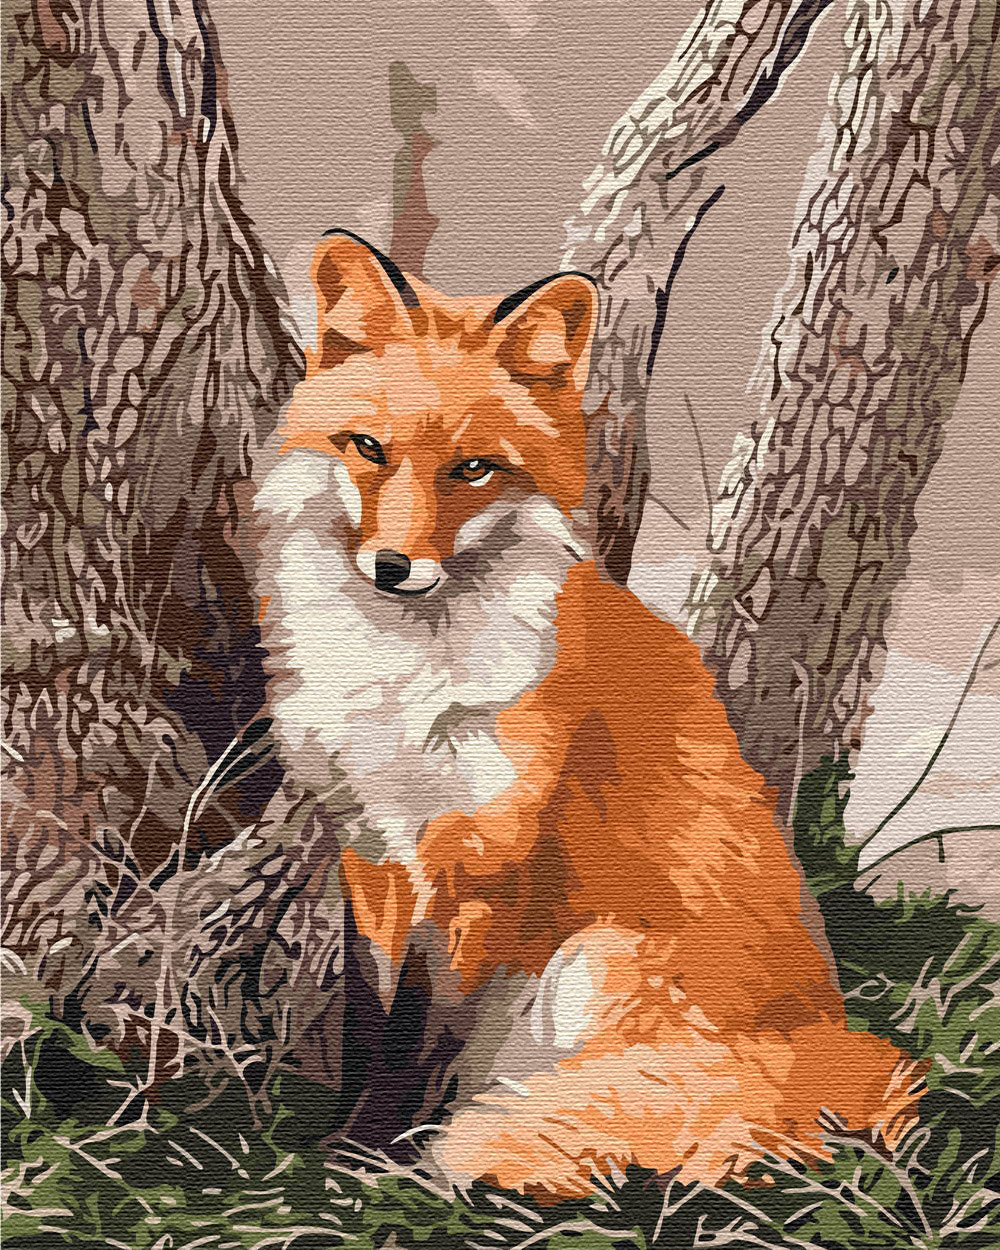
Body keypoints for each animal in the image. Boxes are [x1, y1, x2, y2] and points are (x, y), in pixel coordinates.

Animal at [244, 228, 923, 1197]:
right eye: (367, 447)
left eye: (473, 468)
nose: (393, 567)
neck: (402, 680)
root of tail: (842, 1063)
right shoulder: (368, 846)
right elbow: (369, 1012)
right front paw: (339, 1141)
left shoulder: (479, 859)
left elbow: (416, 1031)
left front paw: (370, 1158)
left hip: (597, 957)